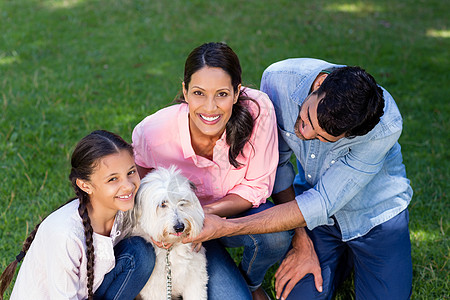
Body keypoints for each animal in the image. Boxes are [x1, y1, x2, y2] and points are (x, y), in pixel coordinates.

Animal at [130, 166, 207, 300]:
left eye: (182, 201)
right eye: (162, 204)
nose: (179, 227)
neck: (171, 249)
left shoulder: (195, 279)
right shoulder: (156, 289)